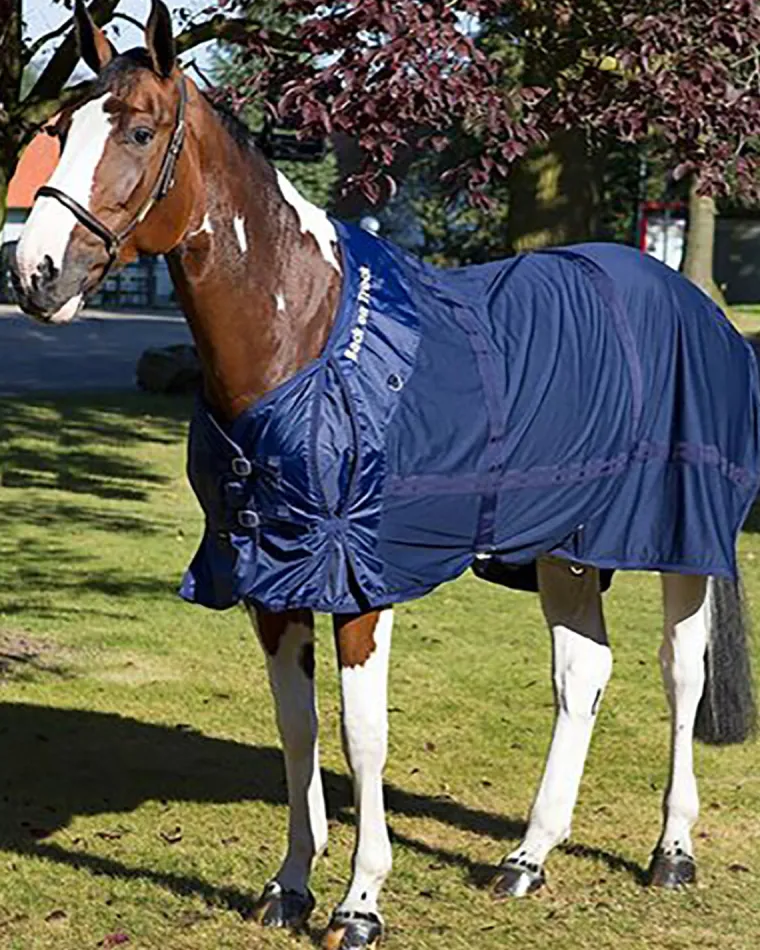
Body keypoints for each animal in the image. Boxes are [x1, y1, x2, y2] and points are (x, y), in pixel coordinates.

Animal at [10, 3, 758, 948]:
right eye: (59, 129)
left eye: (140, 130)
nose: (35, 274)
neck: (305, 335)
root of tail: (698, 306)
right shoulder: (267, 572)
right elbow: (297, 726)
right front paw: (290, 884)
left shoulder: (358, 574)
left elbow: (362, 734)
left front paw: (360, 901)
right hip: (566, 547)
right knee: (582, 674)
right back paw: (527, 859)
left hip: (677, 538)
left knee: (680, 673)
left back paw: (672, 852)